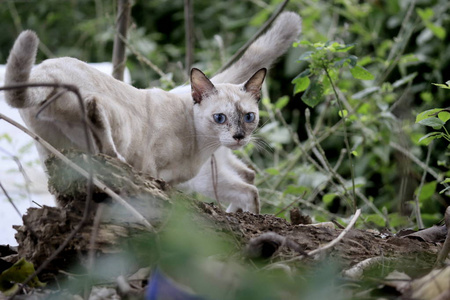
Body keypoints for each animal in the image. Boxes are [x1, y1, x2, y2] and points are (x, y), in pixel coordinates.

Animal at [4, 11, 302, 213]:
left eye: (249, 117)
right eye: (220, 118)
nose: (239, 136)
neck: (199, 143)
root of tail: (43, 70)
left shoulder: (179, 178)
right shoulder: (156, 170)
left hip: (53, 148)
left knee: (248, 183)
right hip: (110, 125)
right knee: (97, 116)